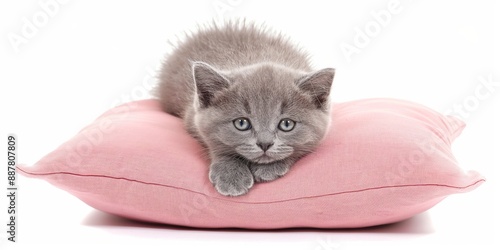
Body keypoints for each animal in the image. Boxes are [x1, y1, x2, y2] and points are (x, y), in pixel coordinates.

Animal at [156, 21, 336, 196]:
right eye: (241, 123)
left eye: (287, 124)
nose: (265, 144)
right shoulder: (191, 118)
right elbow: (214, 143)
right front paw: (231, 175)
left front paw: (270, 168)